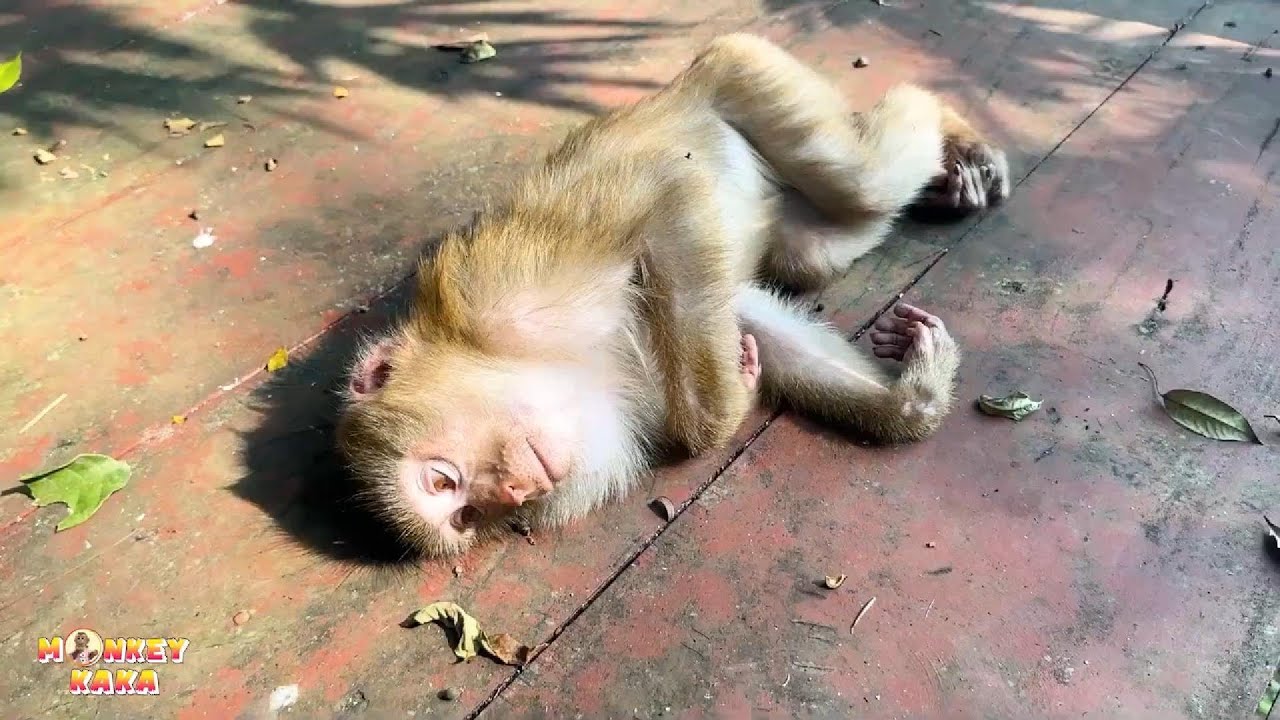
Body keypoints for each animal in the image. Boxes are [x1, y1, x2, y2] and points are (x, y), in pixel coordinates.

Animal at [334, 33, 1010, 559]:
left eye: (443, 483)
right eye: (467, 514)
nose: (513, 492)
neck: (549, 370)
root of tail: (686, 78)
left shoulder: (500, 296)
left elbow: (671, 194)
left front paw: (715, 419)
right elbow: (753, 324)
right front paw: (912, 395)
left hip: (745, 72)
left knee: (861, 181)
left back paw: (949, 125)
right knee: (811, 251)